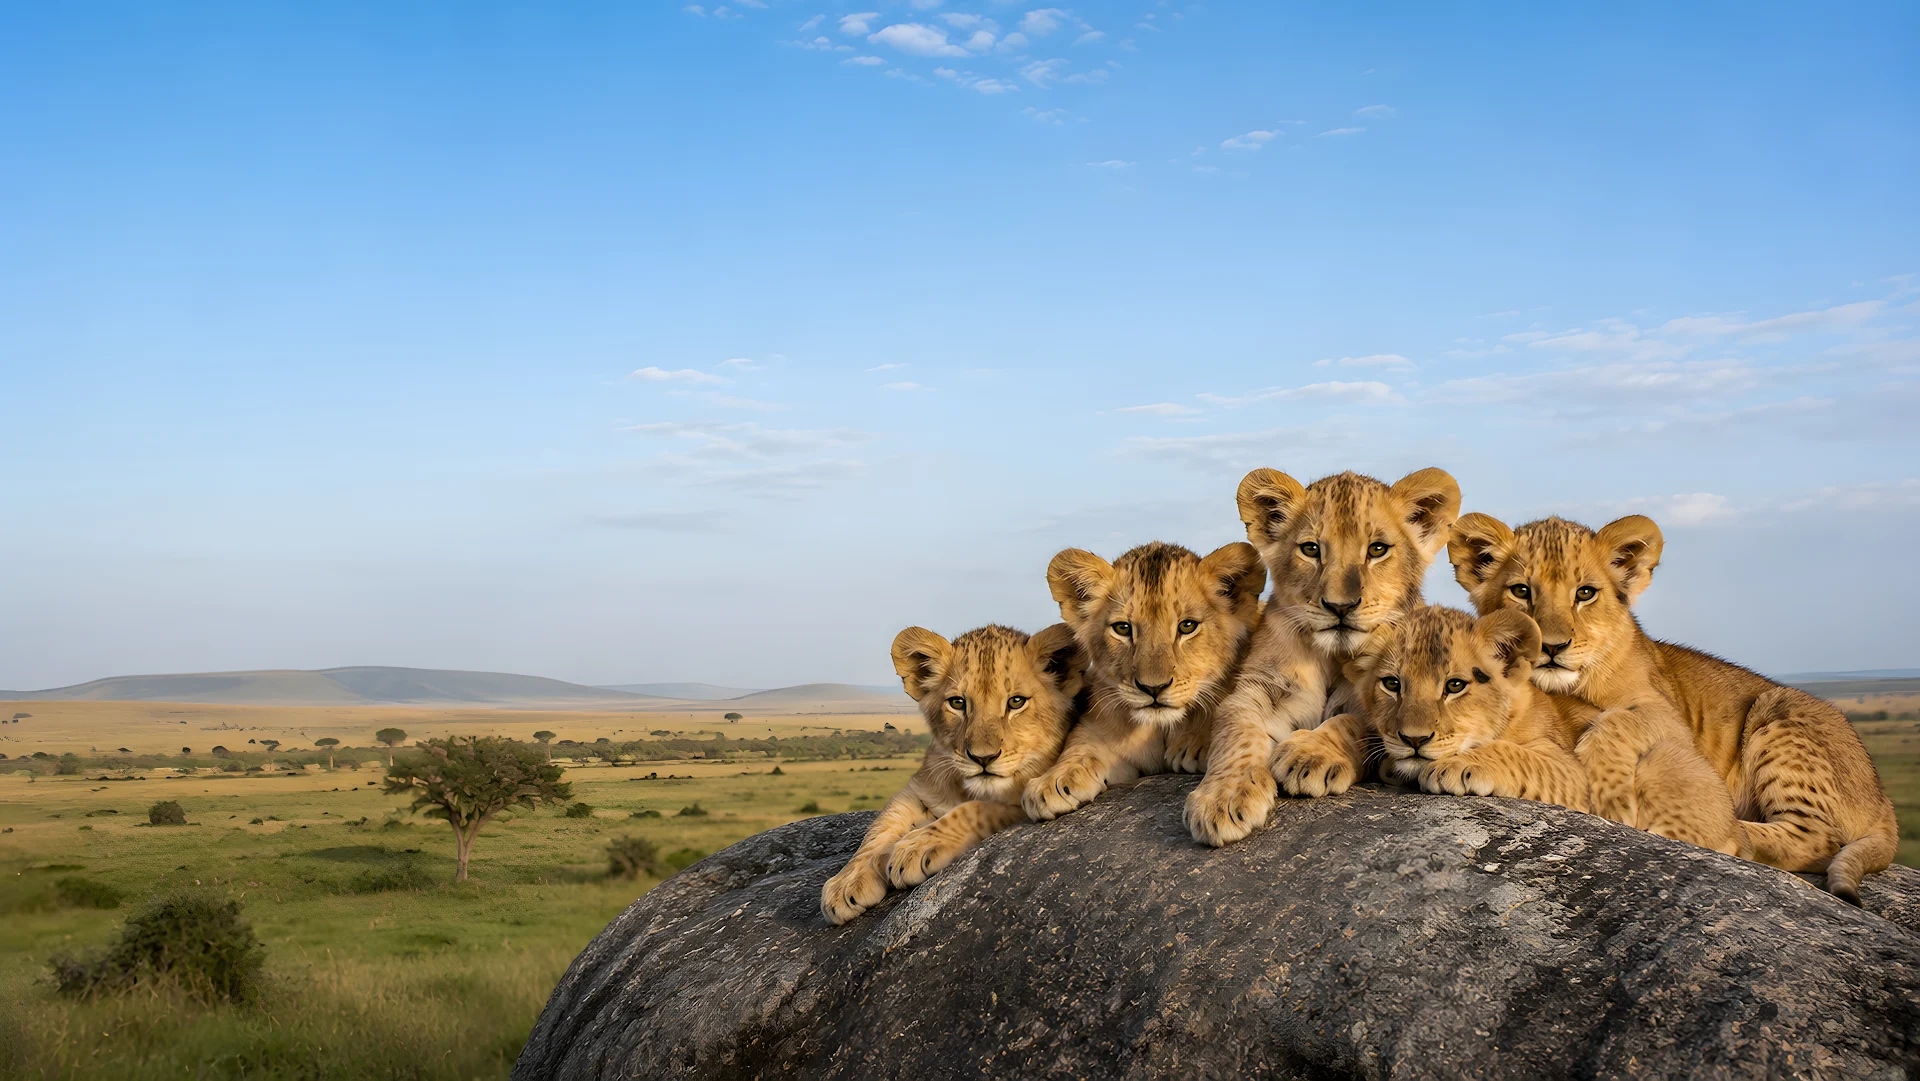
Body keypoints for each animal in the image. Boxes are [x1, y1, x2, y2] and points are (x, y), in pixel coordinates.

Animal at [820, 622, 1083, 925]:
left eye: (1016, 702)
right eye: (957, 703)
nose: (983, 758)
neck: (965, 786)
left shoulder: (1024, 803)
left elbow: (972, 809)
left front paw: (916, 847)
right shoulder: (916, 788)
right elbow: (879, 828)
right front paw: (845, 883)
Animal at [1021, 541, 1266, 822]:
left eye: (1187, 626)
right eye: (1123, 628)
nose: (1153, 688)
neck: (1161, 729)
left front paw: (1195, 744)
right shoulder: (1104, 732)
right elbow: (1079, 744)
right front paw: (1052, 779)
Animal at [1186, 467, 1461, 846]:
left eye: (1377, 549)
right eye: (1311, 549)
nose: (1340, 606)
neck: (1331, 656)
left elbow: (1352, 722)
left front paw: (1310, 756)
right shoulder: (1257, 689)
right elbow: (1236, 732)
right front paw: (1223, 798)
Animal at [1274, 605, 1592, 811]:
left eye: (1455, 685)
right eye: (1392, 683)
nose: (1414, 740)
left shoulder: (1573, 773)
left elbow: (1515, 753)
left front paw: (1457, 765)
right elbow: (1348, 722)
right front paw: (1307, 756)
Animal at [1449, 512, 1899, 901]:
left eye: (1585, 593)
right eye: (1521, 591)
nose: (1552, 647)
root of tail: (1883, 797)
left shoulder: (1672, 719)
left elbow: (1616, 721)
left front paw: (1609, 793)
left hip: (1778, 707)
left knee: (1818, 839)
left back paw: (1730, 831)